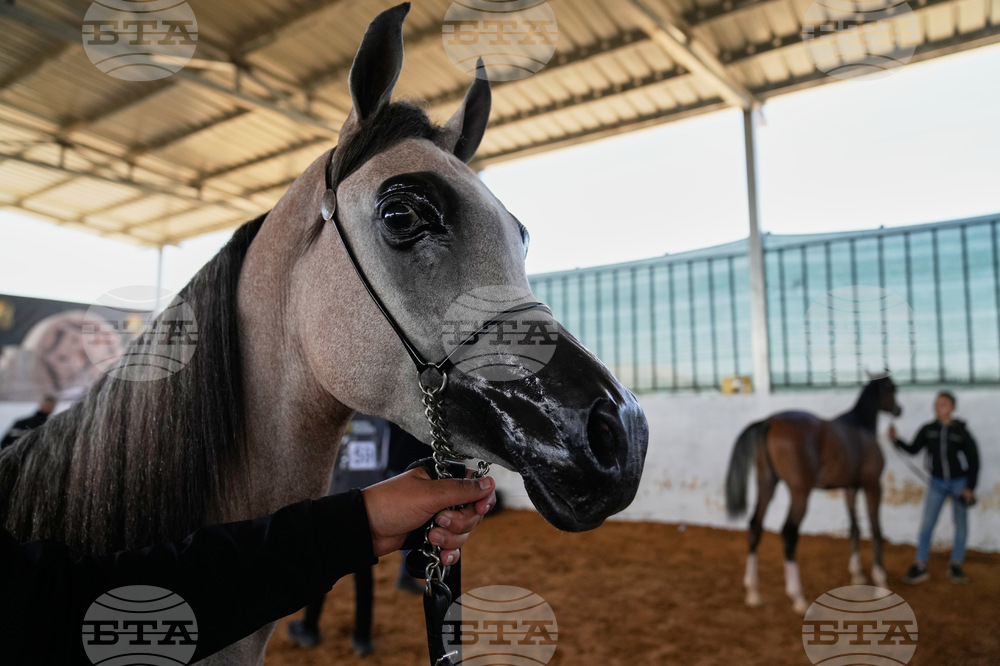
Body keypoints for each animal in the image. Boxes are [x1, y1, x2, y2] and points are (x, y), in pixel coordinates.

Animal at [724, 375, 901, 613]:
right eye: (892, 390)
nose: (898, 410)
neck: (860, 426)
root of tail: (769, 422)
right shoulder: (872, 485)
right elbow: (876, 530)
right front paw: (881, 583)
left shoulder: (850, 488)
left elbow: (854, 528)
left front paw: (857, 574)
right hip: (800, 492)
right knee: (789, 532)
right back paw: (798, 597)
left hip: (767, 485)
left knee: (755, 527)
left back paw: (753, 592)